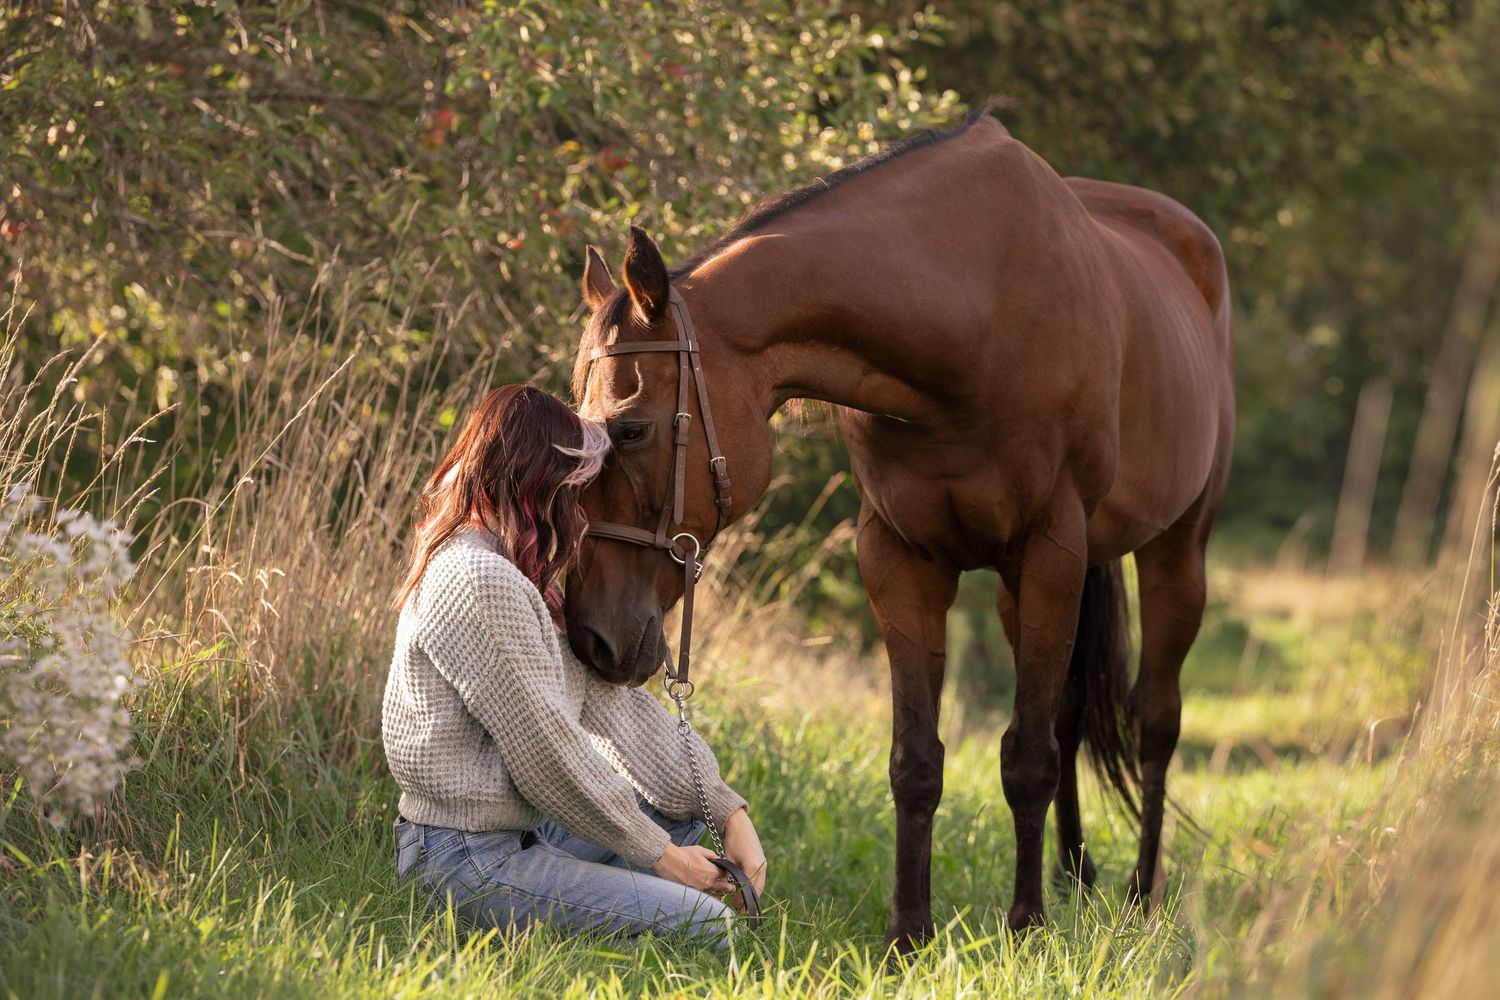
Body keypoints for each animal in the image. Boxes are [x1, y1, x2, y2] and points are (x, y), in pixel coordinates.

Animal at [564, 106, 1235, 950]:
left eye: (630, 430)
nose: (591, 636)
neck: (972, 318)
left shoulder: (1048, 550)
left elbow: (1027, 760)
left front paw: (1024, 928)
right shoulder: (900, 559)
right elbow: (918, 759)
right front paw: (907, 935)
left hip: (1175, 552)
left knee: (1152, 720)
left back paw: (1143, 895)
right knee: (1069, 712)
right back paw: (1075, 877)